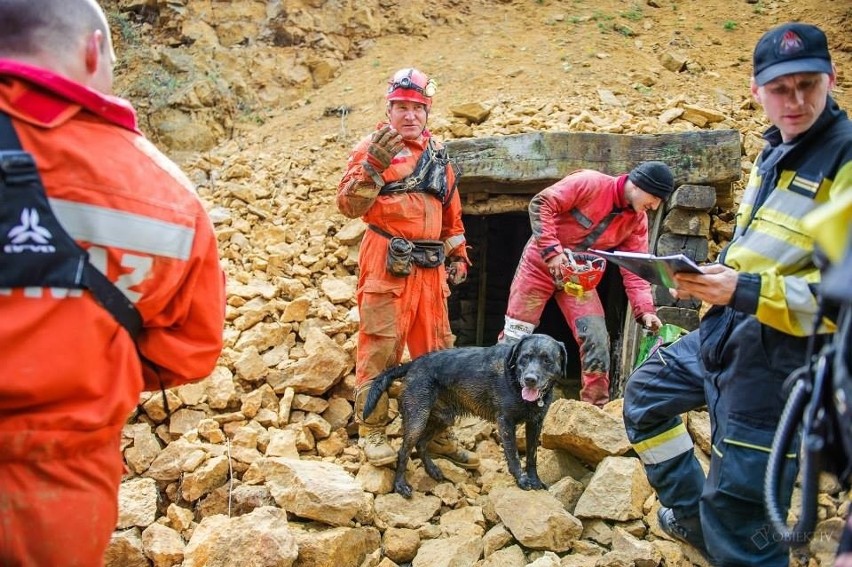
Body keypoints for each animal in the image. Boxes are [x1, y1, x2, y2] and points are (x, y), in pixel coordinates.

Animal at [360, 336, 564, 500]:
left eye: (547, 360)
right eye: (525, 358)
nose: (530, 379)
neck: (514, 378)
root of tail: (414, 363)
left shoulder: (535, 424)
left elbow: (532, 456)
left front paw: (535, 481)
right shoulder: (506, 422)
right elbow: (513, 455)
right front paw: (522, 480)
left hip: (443, 419)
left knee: (421, 444)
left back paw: (432, 469)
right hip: (418, 418)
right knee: (403, 451)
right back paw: (400, 485)